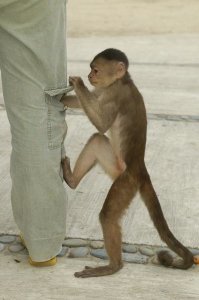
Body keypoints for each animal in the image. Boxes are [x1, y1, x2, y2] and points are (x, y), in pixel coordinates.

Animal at [61, 48, 194, 278]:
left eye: (95, 70)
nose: (89, 76)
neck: (122, 81)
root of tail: (140, 168)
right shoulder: (104, 90)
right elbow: (88, 106)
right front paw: (62, 97)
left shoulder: (115, 94)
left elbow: (103, 123)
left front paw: (78, 84)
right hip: (116, 167)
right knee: (97, 140)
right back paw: (72, 180)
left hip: (126, 181)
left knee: (108, 216)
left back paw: (113, 266)